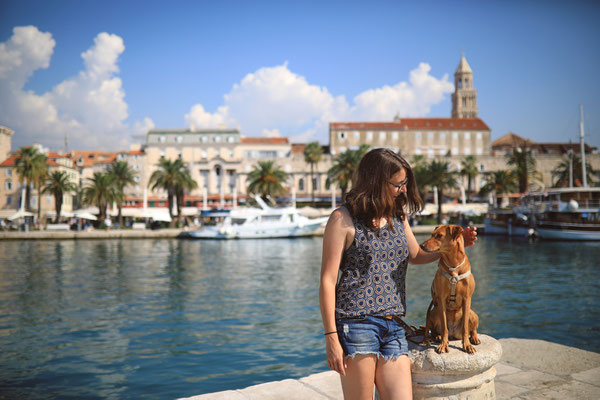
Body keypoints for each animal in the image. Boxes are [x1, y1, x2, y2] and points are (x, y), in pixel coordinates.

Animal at [420, 225, 480, 354]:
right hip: (433, 312)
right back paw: (438, 337)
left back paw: (474, 338)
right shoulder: (441, 299)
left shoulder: (467, 299)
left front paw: (467, 345)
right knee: (435, 330)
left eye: (439, 235)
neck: (453, 265)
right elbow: (444, 327)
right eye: (432, 234)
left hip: (473, 313)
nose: (421, 245)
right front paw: (443, 344)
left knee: (472, 329)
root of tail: (454, 333)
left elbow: (466, 328)